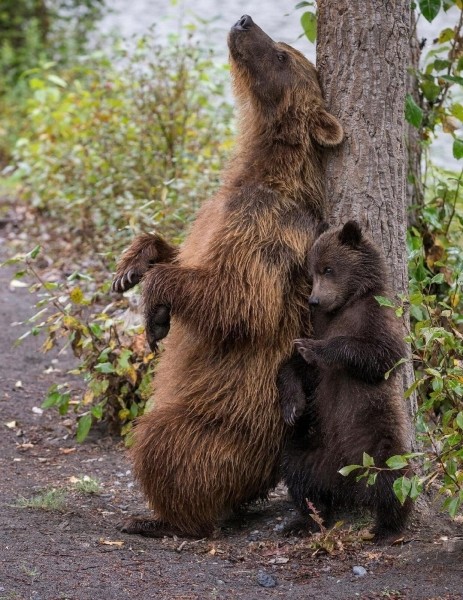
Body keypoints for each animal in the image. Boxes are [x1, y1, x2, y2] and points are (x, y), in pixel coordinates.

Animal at [113, 15, 342, 540]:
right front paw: (131, 267)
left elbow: (238, 300)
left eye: (281, 55)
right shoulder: (215, 213)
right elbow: (180, 250)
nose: (244, 21)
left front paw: (156, 313)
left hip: (225, 424)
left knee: (162, 441)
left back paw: (161, 518)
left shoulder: (268, 231)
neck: (261, 171)